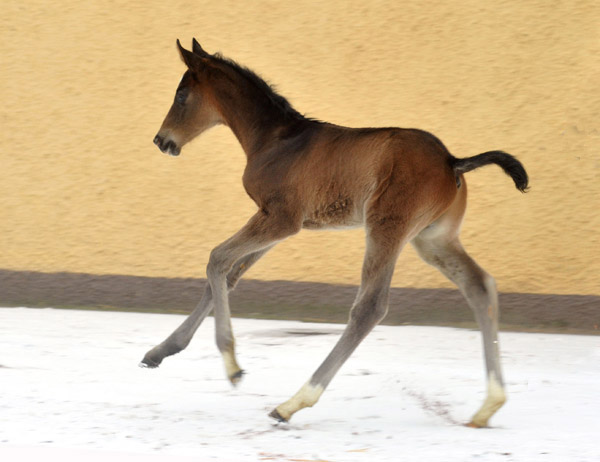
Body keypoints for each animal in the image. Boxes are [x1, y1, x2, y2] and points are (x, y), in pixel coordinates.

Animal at [143, 38, 528, 428]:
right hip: (433, 240)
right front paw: (161, 351)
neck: (275, 140)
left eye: (181, 95)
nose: (162, 140)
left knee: (370, 308)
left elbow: (217, 259)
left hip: (387, 227)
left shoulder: (282, 219)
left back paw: (293, 402)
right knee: (480, 287)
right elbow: (228, 274)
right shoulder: (276, 222)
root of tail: (453, 161)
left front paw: (232, 365)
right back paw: (489, 405)